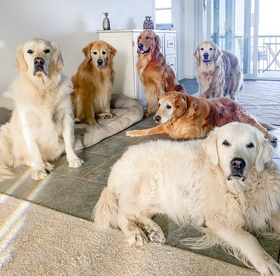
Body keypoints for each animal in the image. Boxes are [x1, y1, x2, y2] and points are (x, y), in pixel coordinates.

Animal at [0, 38, 83, 181]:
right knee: (22, 159)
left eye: (47, 50)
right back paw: (45, 165)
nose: (39, 61)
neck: (42, 88)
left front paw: (73, 159)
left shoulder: (66, 117)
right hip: (4, 135)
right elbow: (35, 151)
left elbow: (69, 141)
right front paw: (39, 170)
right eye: (29, 51)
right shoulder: (29, 124)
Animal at [93, 123, 280, 276]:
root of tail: (116, 167)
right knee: (123, 214)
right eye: (226, 143)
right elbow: (247, 238)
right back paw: (136, 234)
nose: (238, 163)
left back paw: (154, 230)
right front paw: (267, 262)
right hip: (146, 185)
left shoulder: (267, 209)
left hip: (162, 198)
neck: (241, 189)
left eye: (250, 145)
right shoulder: (215, 219)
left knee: (138, 213)